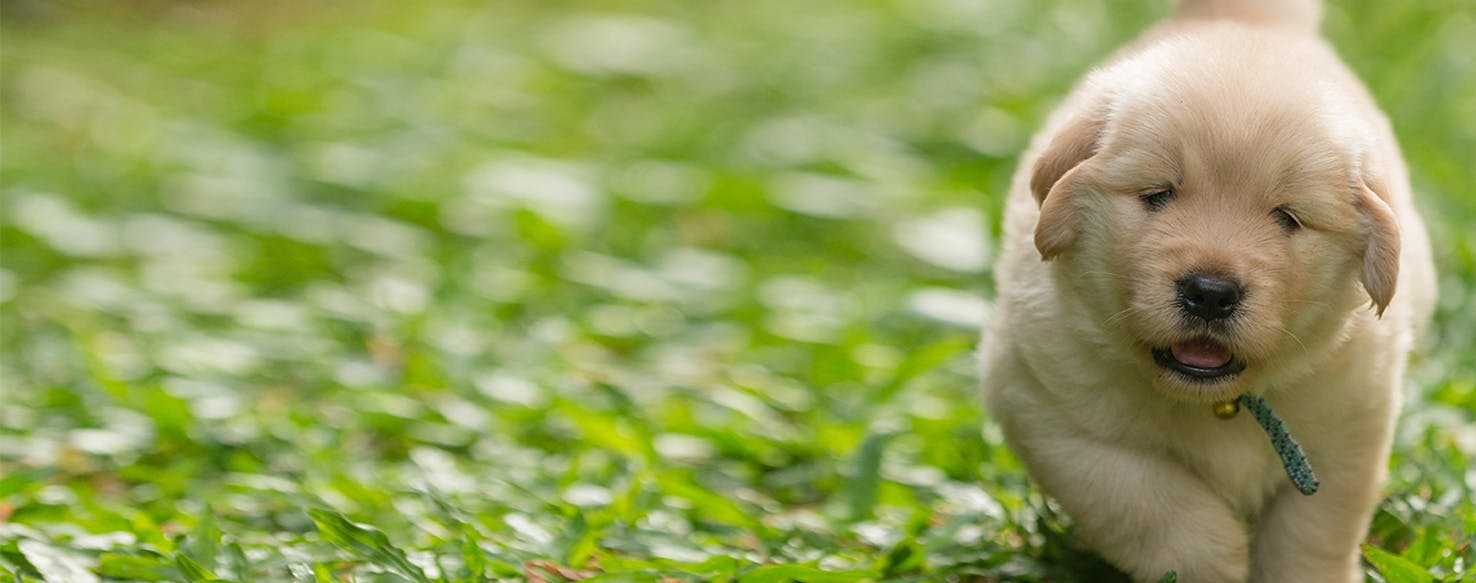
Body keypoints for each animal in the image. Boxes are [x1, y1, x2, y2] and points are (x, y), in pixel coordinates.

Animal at [974, 0, 1434, 581]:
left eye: (1287, 218)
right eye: (1157, 195)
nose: (1211, 293)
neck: (1218, 402)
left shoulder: (1349, 432)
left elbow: (1312, 534)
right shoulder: (1053, 414)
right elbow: (1148, 502)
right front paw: (1215, 560)